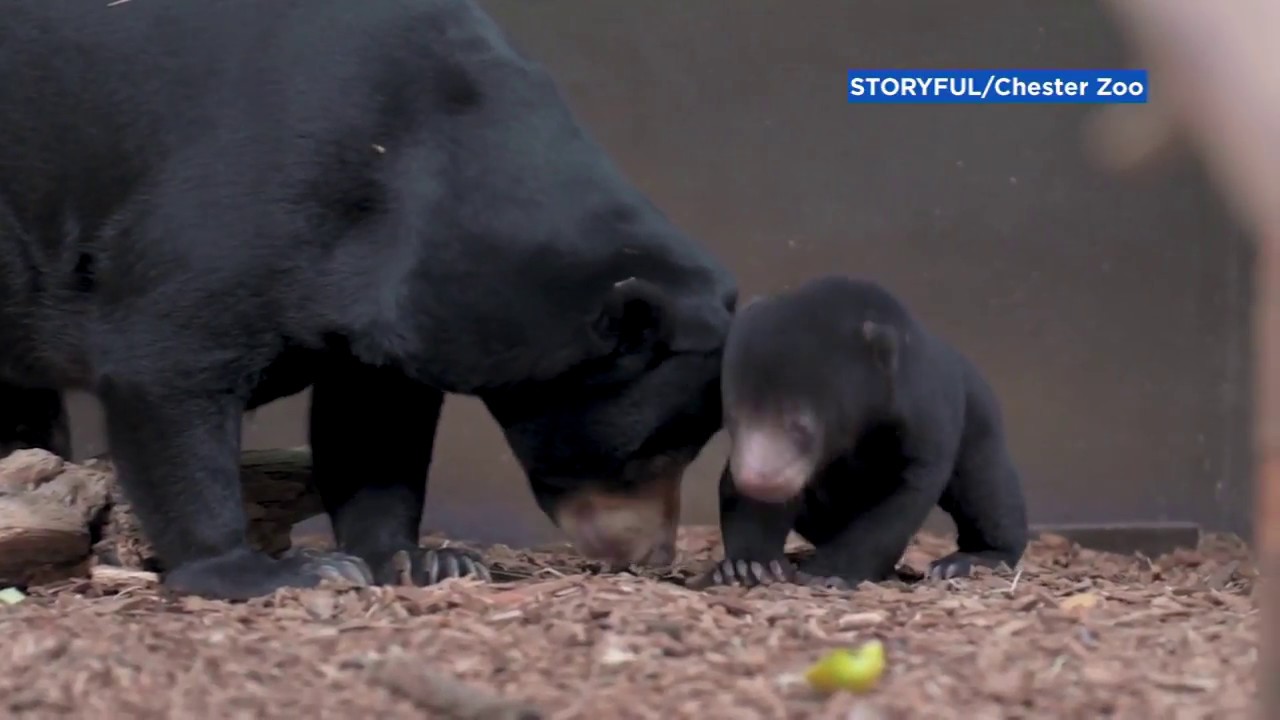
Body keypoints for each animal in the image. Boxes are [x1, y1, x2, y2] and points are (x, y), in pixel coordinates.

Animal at [0, 0, 736, 600]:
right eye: (653, 452)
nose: (653, 554)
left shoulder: (385, 308)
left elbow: (375, 423)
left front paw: (422, 560)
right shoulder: (237, 204)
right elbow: (168, 365)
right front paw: (273, 571)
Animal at [697, 275, 1027, 589]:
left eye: (802, 426)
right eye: (733, 418)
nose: (756, 482)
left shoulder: (923, 416)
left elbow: (897, 503)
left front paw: (829, 574)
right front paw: (749, 567)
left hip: (980, 424)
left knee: (987, 488)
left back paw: (965, 561)